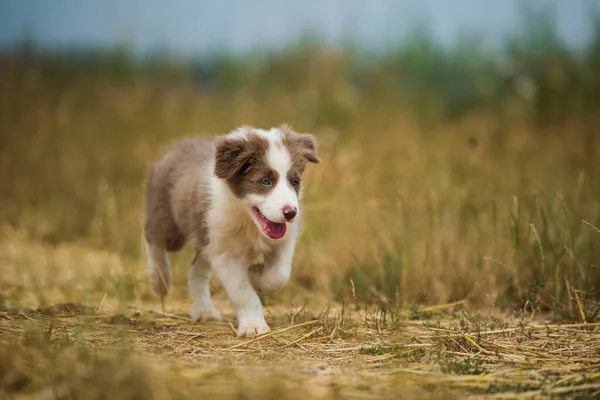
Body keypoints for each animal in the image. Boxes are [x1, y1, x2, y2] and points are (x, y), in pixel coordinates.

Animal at [142, 123, 318, 336]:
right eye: (265, 181)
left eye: (295, 182)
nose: (291, 213)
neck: (248, 220)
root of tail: (176, 145)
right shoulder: (225, 255)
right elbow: (242, 291)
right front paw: (253, 326)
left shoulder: (285, 241)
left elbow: (278, 276)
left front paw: (255, 274)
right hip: (169, 226)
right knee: (152, 238)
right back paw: (159, 281)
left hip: (206, 236)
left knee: (196, 269)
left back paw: (204, 312)